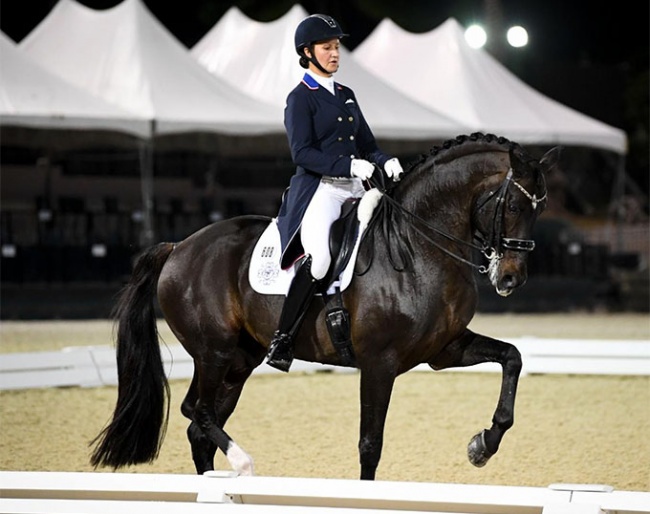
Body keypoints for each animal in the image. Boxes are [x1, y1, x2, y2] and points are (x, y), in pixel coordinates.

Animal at [90, 131, 556, 476]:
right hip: (213, 351)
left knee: (200, 427)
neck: (418, 246)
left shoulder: (445, 349)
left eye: (540, 209)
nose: (510, 278)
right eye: (515, 205)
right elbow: (370, 444)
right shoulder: (379, 363)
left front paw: (482, 445)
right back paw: (243, 463)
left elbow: (512, 358)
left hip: (239, 359)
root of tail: (179, 246)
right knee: (198, 411)